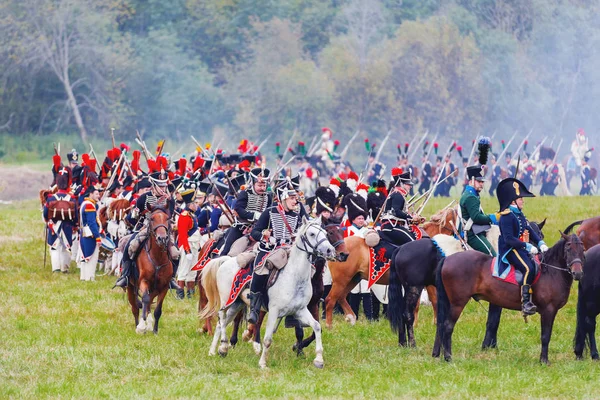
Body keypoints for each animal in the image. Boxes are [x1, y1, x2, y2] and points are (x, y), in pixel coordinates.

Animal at [126, 206, 173, 334]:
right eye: (152, 219)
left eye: (167, 218)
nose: (162, 238)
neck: (157, 258)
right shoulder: (143, 281)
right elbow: (145, 300)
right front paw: (141, 327)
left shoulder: (164, 287)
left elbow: (157, 309)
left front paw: (155, 330)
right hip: (130, 287)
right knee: (135, 307)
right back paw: (138, 324)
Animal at [199, 219, 336, 368]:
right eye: (311, 234)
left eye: (325, 233)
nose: (330, 250)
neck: (294, 276)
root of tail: (226, 261)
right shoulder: (274, 311)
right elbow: (268, 339)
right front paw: (263, 363)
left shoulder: (300, 310)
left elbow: (316, 327)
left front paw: (318, 359)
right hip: (227, 301)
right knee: (222, 318)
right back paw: (223, 346)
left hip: (237, 303)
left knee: (220, 324)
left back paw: (214, 351)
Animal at [326, 206, 458, 328]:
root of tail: (335, 249)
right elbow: (425, 302)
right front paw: (418, 324)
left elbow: (432, 300)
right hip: (341, 280)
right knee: (330, 299)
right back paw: (329, 326)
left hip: (353, 278)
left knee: (341, 297)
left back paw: (352, 318)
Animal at [434, 231, 584, 366]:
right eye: (568, 248)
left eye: (582, 249)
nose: (577, 273)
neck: (551, 271)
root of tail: (447, 259)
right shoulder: (548, 310)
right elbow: (546, 336)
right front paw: (544, 361)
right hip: (457, 303)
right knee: (448, 326)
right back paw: (448, 358)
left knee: (441, 326)